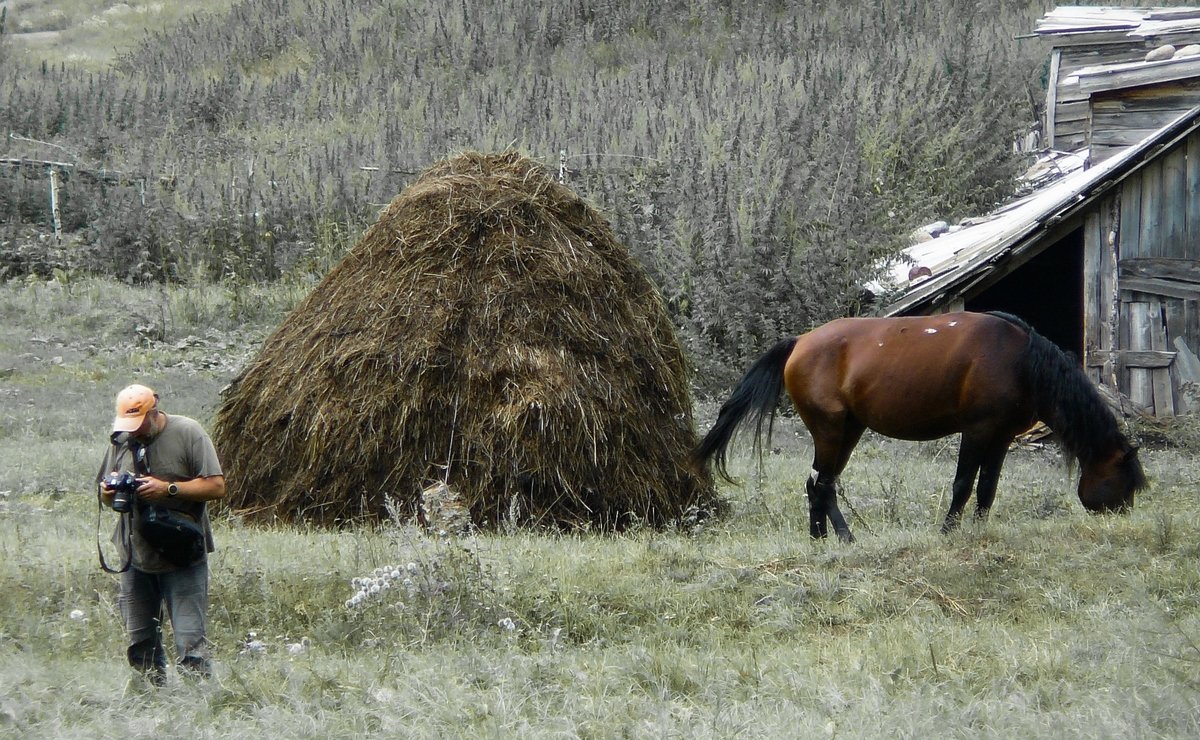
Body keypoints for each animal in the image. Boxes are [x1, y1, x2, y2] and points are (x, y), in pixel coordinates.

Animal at [700, 309, 1147, 539]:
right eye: (1125, 482)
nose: (1122, 518)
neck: (1020, 360)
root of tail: (799, 343)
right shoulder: (977, 431)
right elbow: (964, 483)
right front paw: (948, 531)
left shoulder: (1001, 437)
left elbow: (987, 488)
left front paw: (978, 530)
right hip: (829, 430)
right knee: (822, 486)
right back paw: (844, 537)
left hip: (848, 431)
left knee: (818, 486)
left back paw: (821, 539)